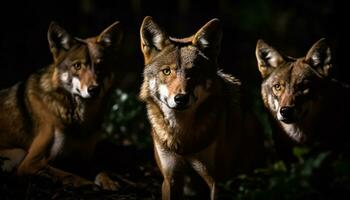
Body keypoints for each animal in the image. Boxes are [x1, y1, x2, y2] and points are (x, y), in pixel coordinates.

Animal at [0, 20, 123, 191]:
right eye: (77, 66)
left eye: (100, 66)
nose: (94, 89)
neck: (79, 120)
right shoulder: (31, 162)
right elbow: (67, 174)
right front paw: (86, 183)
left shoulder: (86, 158)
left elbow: (101, 169)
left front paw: (108, 182)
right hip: (19, 153)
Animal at [139, 16, 266, 199]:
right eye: (167, 71)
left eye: (193, 72)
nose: (181, 98)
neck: (183, 136)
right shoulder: (171, 178)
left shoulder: (217, 182)